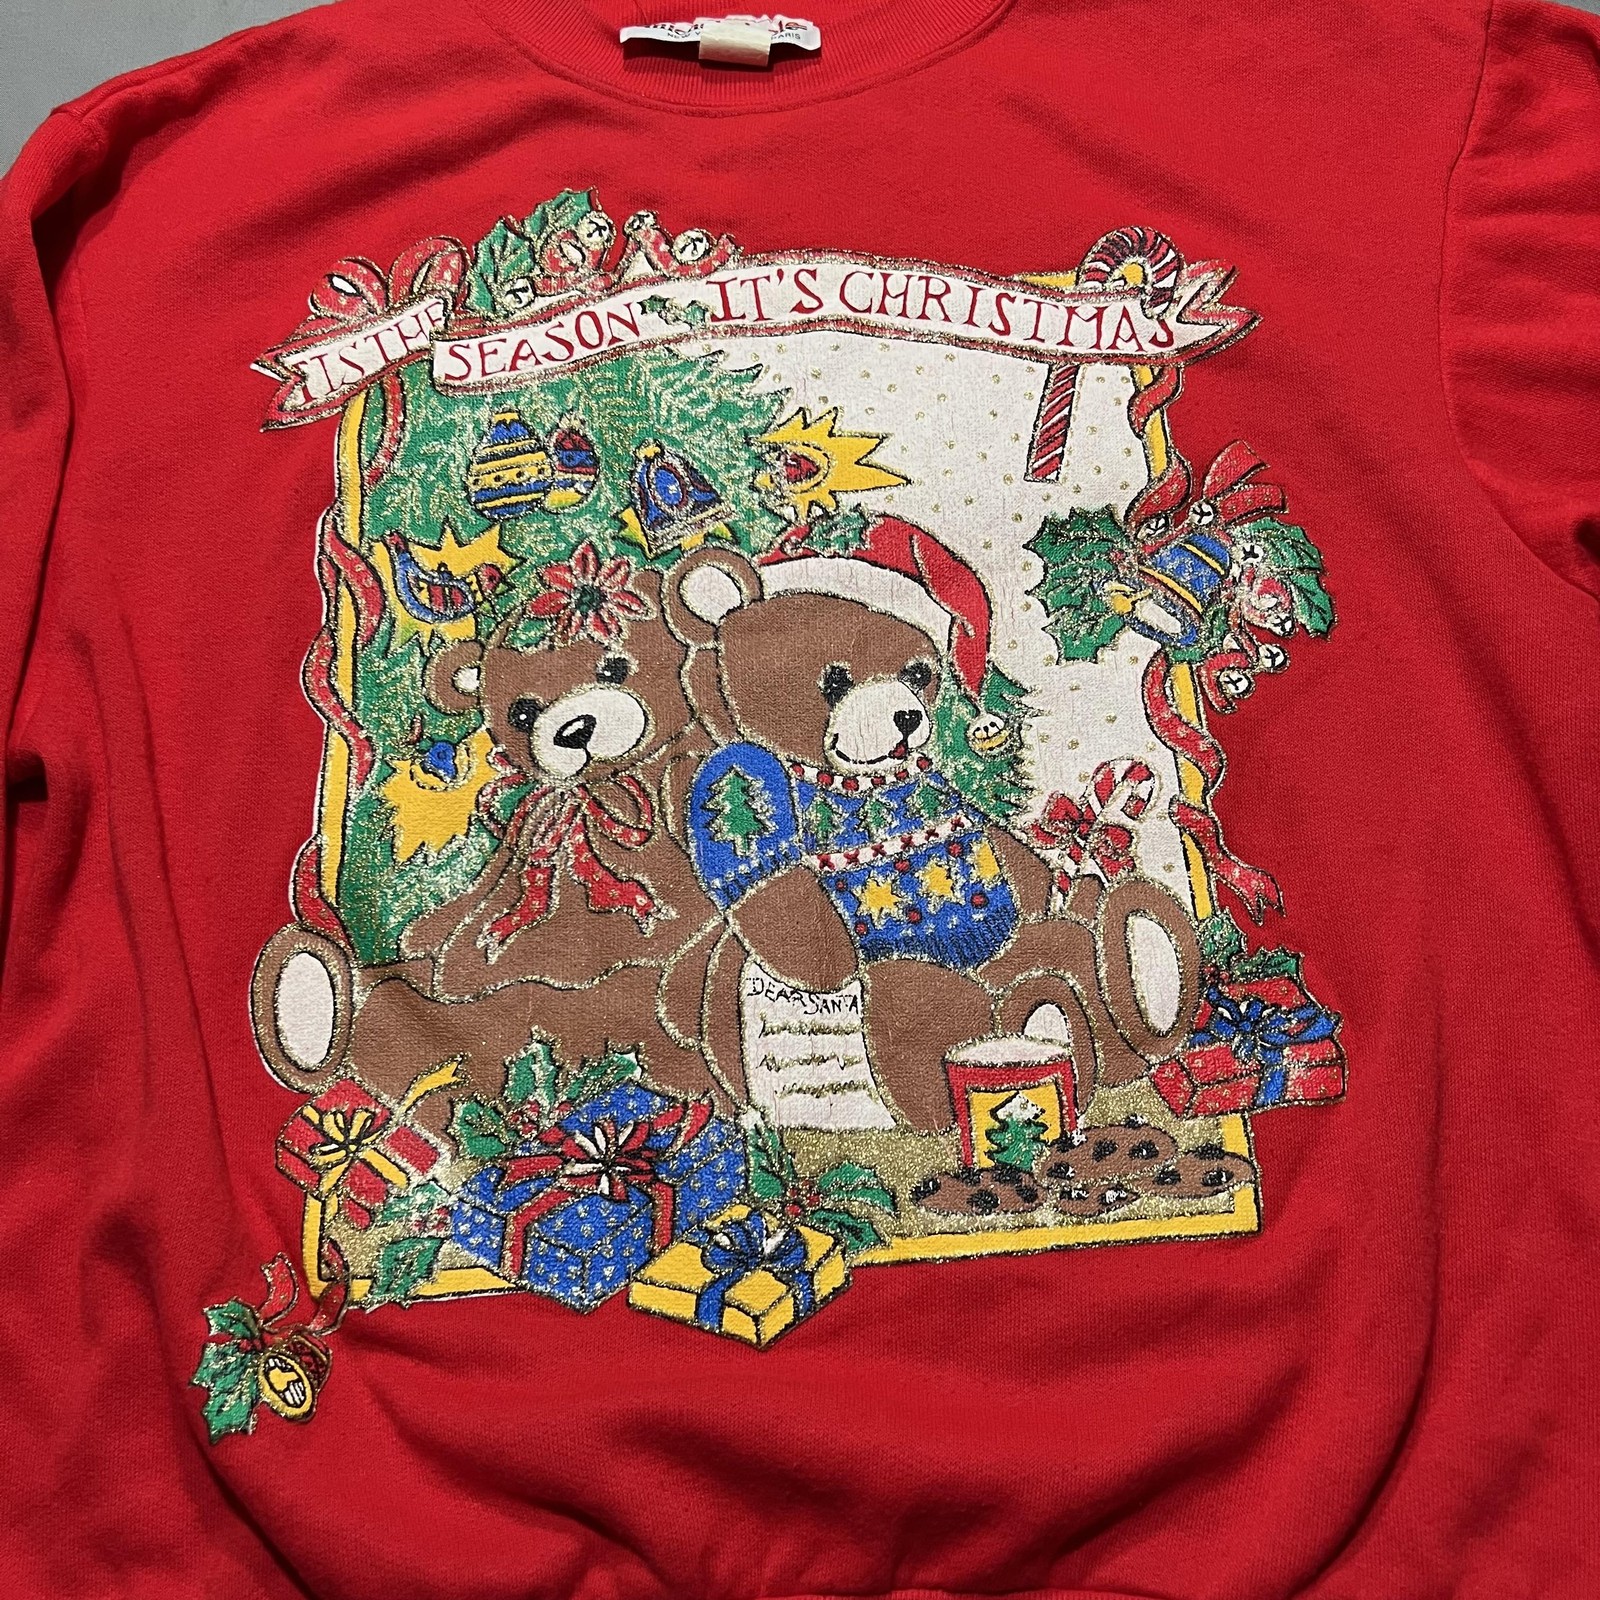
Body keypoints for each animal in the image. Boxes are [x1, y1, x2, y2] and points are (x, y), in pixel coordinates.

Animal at [251, 561, 732, 1141]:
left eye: (617, 666)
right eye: (521, 712)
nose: (575, 729)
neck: (591, 790)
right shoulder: (513, 843)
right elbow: (472, 898)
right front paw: (424, 930)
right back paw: (314, 996)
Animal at [657, 528, 1204, 1133]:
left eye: (918, 673)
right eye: (833, 680)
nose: (905, 718)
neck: (875, 787)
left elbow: (1032, 875)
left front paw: (1082, 883)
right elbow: (806, 948)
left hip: (1032, 945)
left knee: (1079, 945)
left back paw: (1141, 946)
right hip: (912, 989)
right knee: (930, 1015)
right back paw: (1043, 1019)